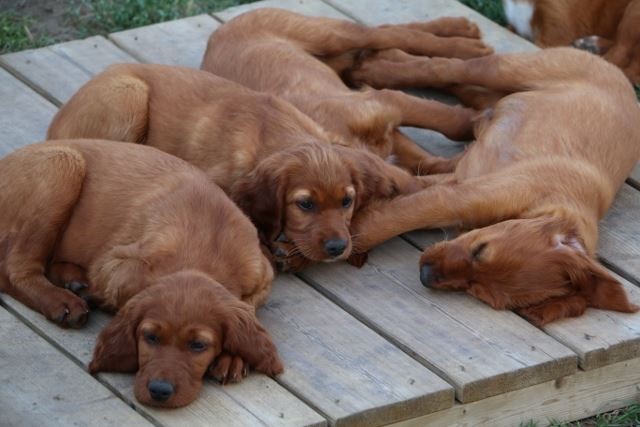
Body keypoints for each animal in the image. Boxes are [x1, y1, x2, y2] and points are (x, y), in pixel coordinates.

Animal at [0, 140, 280, 408]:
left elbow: (247, 306)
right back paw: (63, 301)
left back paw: (73, 280)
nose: (159, 391)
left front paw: (234, 356)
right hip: (63, 165)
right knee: (14, 269)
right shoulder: (113, 262)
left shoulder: (263, 274)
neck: (208, 247)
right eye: (150, 337)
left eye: (198, 345)